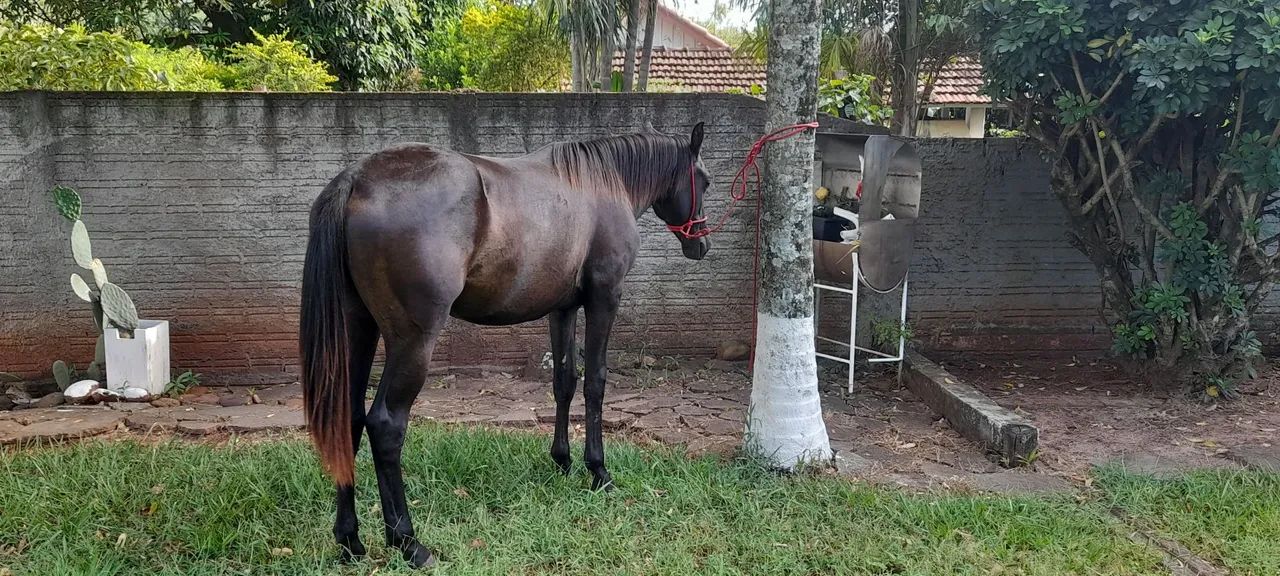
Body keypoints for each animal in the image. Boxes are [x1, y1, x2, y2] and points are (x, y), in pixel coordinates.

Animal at [299, 123, 712, 567]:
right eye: (704, 180)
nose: (701, 244)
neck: (601, 183)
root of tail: (356, 179)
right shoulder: (604, 298)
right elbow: (595, 383)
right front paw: (599, 472)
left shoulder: (563, 308)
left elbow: (564, 381)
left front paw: (562, 461)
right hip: (412, 342)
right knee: (385, 425)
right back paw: (408, 541)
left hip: (358, 331)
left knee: (349, 419)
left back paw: (350, 540)